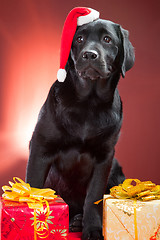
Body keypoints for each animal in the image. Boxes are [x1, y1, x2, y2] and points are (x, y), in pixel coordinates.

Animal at [25, 17, 134, 240]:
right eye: (79, 39)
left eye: (107, 39)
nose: (89, 54)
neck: (88, 104)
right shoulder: (40, 147)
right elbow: (34, 183)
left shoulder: (104, 157)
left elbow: (94, 197)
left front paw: (92, 229)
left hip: (116, 170)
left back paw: (77, 221)